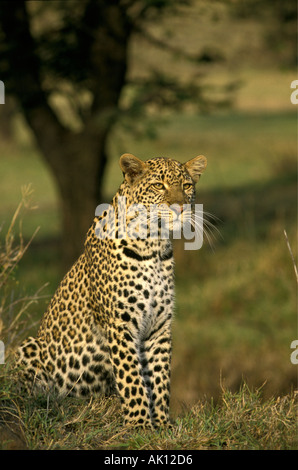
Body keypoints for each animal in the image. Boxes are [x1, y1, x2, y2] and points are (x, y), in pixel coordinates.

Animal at [15, 152, 207, 428]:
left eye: (187, 186)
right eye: (158, 186)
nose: (180, 208)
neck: (155, 246)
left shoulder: (159, 326)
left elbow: (160, 378)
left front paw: (161, 423)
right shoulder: (120, 324)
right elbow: (132, 379)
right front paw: (140, 424)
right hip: (29, 346)